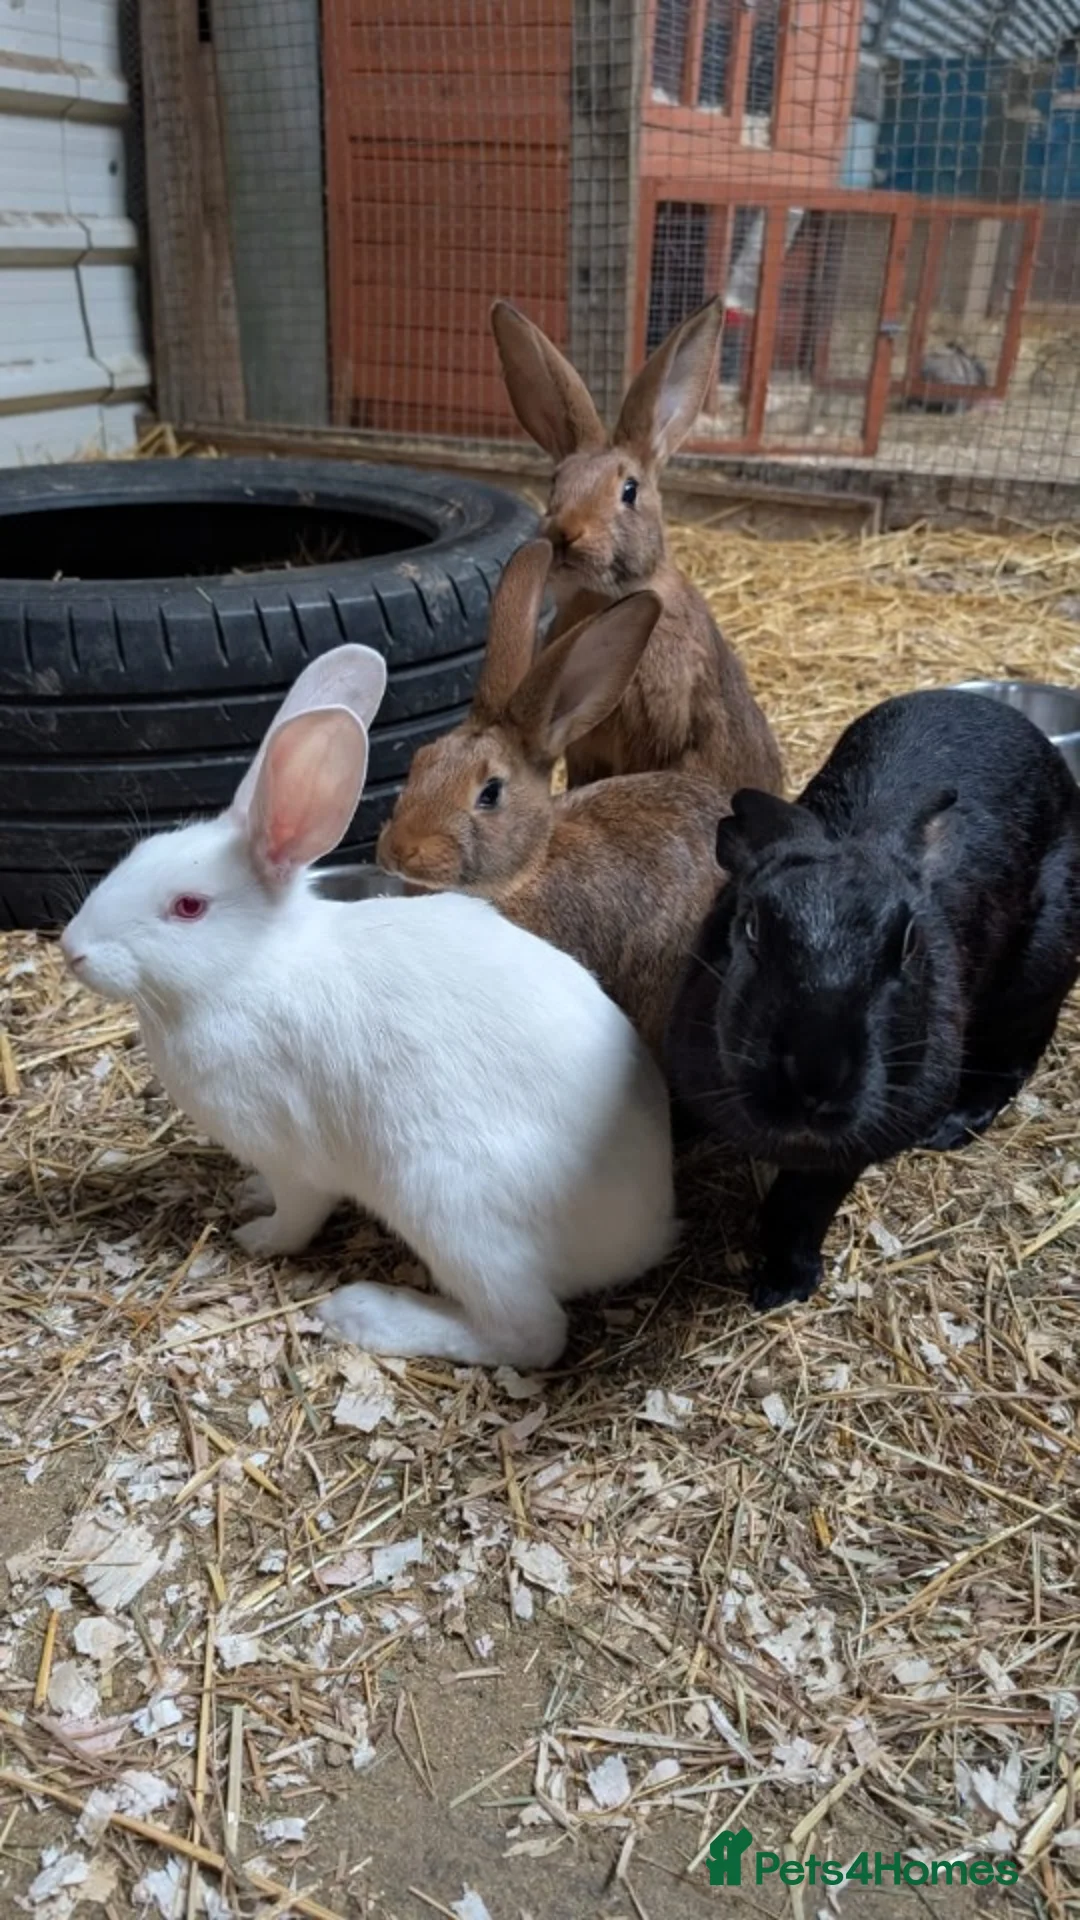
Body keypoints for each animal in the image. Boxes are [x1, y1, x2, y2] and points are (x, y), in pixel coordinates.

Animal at [60, 646, 677, 1370]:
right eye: (136, 853)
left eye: (188, 907)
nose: (72, 949)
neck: (249, 970)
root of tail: (645, 1233)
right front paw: (248, 1195)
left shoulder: (291, 1154)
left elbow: (297, 1215)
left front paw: (257, 1236)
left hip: (449, 1209)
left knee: (529, 1333)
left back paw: (365, 1313)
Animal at [668, 688, 1080, 1313]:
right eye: (752, 927)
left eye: (908, 943)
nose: (818, 1077)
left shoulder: (856, 1139)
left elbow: (801, 1206)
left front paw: (781, 1286)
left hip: (1037, 972)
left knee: (1014, 1055)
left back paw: (951, 1126)